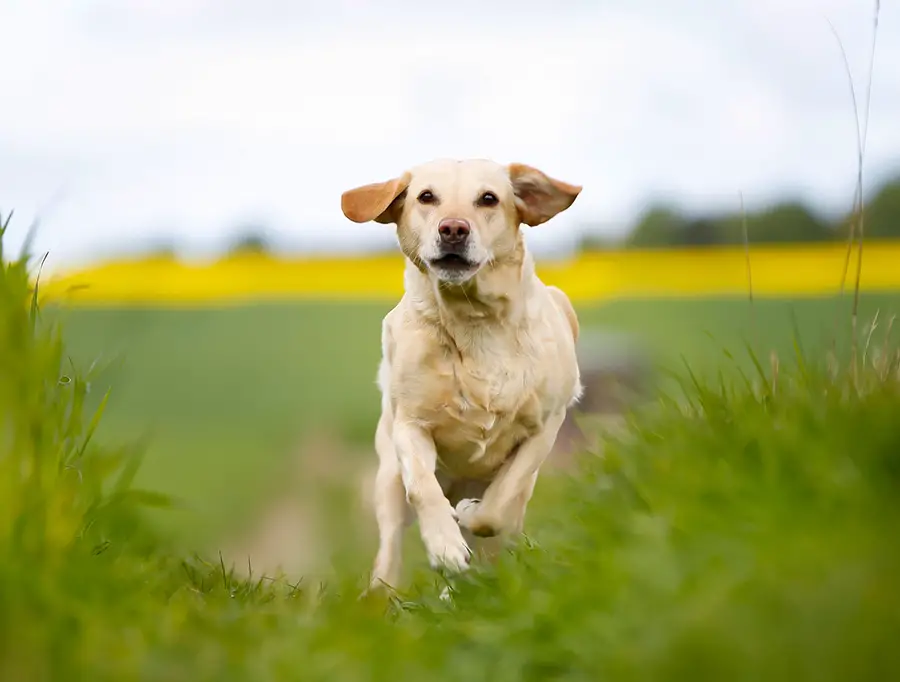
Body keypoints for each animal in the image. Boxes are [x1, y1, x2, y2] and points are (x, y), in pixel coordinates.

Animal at [340, 158, 584, 588]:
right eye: (426, 197)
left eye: (488, 198)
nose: (453, 229)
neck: (474, 320)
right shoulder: (411, 425)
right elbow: (423, 488)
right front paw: (445, 545)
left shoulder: (545, 426)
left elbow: (499, 505)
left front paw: (471, 514)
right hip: (387, 480)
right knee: (389, 550)